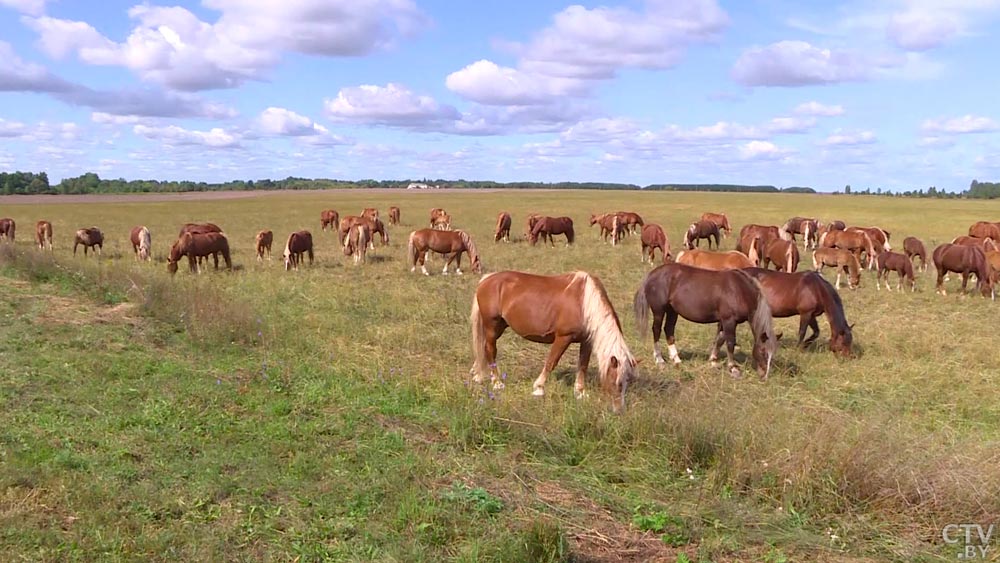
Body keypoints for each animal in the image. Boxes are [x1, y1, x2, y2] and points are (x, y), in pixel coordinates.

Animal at [470, 270, 640, 412]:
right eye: (616, 382)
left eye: (627, 381)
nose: (619, 410)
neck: (584, 302)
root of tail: (486, 279)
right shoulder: (563, 337)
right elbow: (551, 362)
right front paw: (539, 388)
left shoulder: (587, 341)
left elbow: (582, 365)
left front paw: (580, 392)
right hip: (492, 326)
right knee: (490, 350)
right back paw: (497, 383)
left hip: (499, 327)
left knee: (484, 349)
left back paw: (479, 375)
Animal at [632, 264, 780, 378]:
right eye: (763, 352)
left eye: (772, 355)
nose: (765, 376)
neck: (739, 290)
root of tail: (652, 274)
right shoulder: (729, 320)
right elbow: (730, 343)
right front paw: (733, 368)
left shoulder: (723, 321)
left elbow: (719, 340)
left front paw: (713, 362)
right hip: (659, 311)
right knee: (656, 331)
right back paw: (660, 360)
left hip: (672, 311)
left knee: (669, 330)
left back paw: (676, 359)